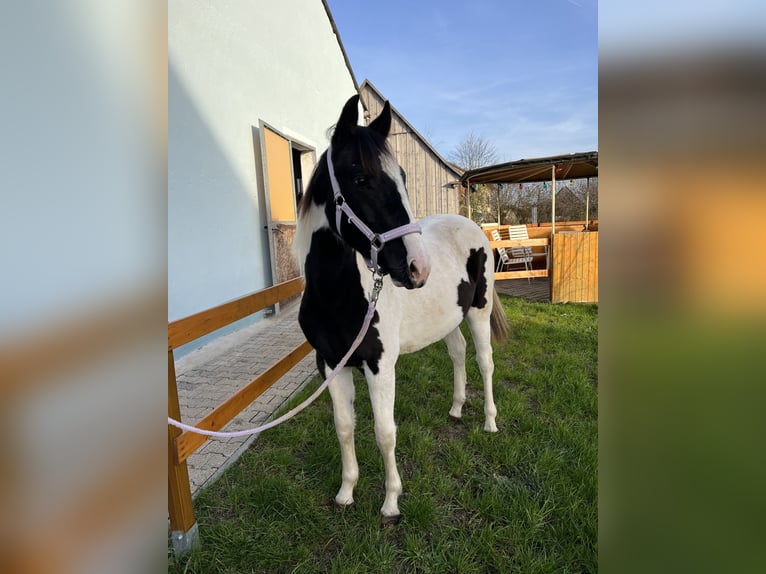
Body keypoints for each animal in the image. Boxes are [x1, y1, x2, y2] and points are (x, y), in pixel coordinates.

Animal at [296, 94, 510, 520]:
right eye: (361, 179)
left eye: (404, 178)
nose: (417, 267)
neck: (338, 296)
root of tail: (475, 228)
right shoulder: (331, 364)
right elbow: (344, 427)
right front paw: (346, 492)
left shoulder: (380, 365)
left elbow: (384, 432)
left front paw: (391, 501)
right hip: (449, 319)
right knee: (458, 353)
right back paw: (456, 409)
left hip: (478, 313)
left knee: (484, 362)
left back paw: (490, 423)